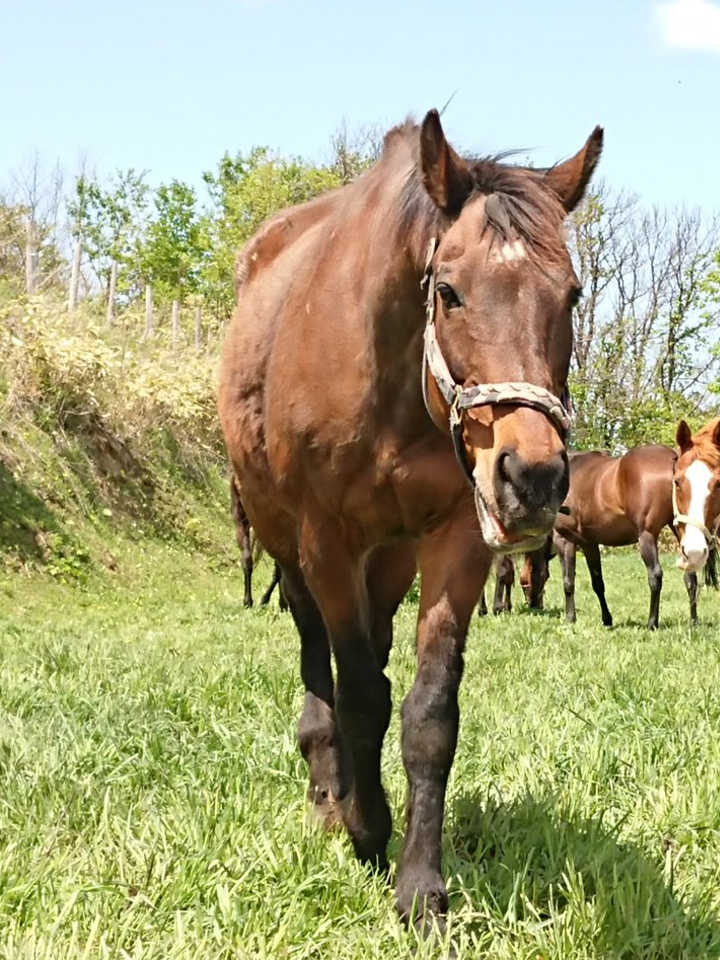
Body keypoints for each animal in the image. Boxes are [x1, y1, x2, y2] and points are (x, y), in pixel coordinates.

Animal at [219, 109, 600, 928]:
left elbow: (427, 714)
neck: (392, 391)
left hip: (389, 558)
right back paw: (330, 790)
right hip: (285, 542)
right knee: (319, 661)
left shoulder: (456, 538)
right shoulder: (327, 540)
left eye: (573, 294)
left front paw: (420, 882)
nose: (533, 477)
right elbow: (360, 694)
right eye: (449, 291)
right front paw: (366, 827)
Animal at [552, 448, 696, 632]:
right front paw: (607, 619)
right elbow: (597, 583)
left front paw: (570, 618)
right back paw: (693, 622)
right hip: (680, 529)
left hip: (647, 536)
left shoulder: (565, 540)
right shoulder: (590, 544)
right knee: (690, 575)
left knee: (655, 576)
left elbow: (568, 582)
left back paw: (652, 623)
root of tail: (672, 459)